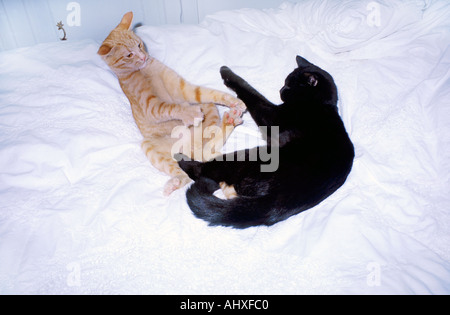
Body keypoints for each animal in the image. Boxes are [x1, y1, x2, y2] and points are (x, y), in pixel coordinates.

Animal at [98, 12, 246, 195]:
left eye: (139, 45)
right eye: (129, 55)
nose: (144, 56)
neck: (143, 70)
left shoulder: (184, 89)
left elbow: (207, 93)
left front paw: (234, 101)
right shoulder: (150, 106)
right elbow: (169, 107)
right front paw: (189, 114)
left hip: (208, 108)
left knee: (207, 145)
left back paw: (229, 120)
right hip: (150, 146)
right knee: (188, 169)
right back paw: (175, 180)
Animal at [176, 56, 356, 230]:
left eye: (289, 86)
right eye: (285, 83)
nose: (281, 90)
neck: (319, 104)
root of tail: (274, 203)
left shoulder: (272, 117)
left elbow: (251, 93)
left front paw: (226, 72)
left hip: (247, 157)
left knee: (204, 171)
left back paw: (182, 159)